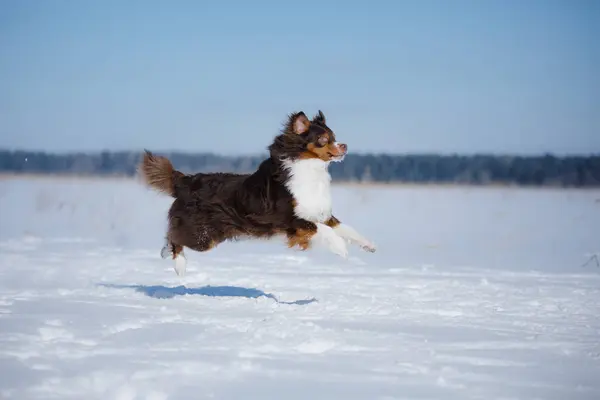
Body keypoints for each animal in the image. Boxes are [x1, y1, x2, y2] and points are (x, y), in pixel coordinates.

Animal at [138, 111, 378, 276]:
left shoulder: (319, 212)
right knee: (175, 238)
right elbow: (322, 230)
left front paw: (368, 244)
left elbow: (344, 227)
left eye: (335, 136)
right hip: (203, 236)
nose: (345, 146)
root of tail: (186, 181)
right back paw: (179, 265)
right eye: (323, 139)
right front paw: (341, 249)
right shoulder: (288, 219)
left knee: (171, 237)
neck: (309, 169)